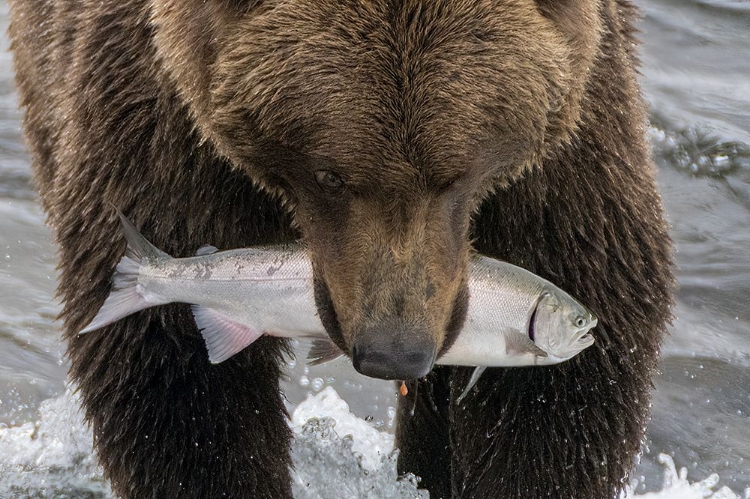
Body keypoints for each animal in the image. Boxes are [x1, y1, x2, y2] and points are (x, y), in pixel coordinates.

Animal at [7, 0, 676, 498]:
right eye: (331, 175)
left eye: (455, 176)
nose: (395, 352)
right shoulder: (165, 128)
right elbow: (175, 383)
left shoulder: (565, 161)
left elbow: (560, 402)